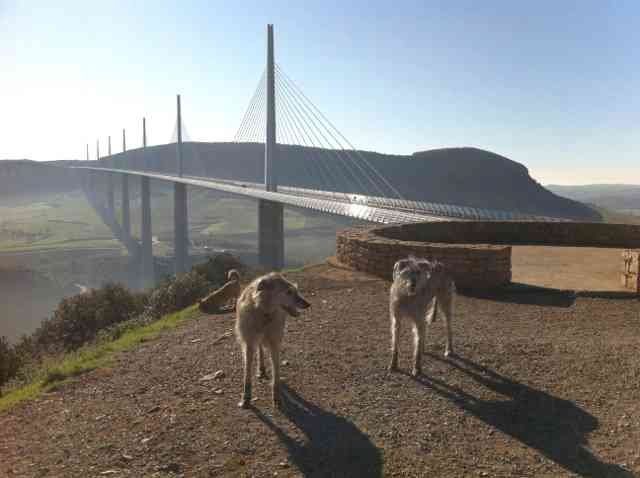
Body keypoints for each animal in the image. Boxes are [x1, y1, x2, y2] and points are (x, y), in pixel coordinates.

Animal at [235, 272, 310, 408]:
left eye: (295, 290)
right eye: (288, 292)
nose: (307, 304)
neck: (263, 312)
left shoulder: (274, 342)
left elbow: (276, 371)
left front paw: (276, 397)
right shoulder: (248, 343)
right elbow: (247, 372)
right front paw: (246, 397)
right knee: (259, 348)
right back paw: (261, 368)